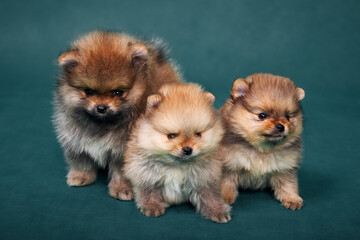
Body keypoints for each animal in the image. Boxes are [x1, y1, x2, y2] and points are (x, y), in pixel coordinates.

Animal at [52, 31, 180, 201]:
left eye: (117, 92)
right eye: (89, 92)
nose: (101, 107)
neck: (102, 124)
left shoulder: (123, 151)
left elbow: (122, 173)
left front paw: (121, 189)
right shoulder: (76, 140)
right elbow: (81, 160)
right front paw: (81, 176)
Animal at [124, 83, 231, 223]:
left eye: (198, 134)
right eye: (171, 135)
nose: (187, 149)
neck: (177, 165)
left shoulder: (204, 178)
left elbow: (210, 195)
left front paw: (217, 210)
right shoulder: (146, 173)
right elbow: (149, 191)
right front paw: (152, 205)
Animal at [218, 73, 306, 210]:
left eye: (288, 116)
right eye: (262, 115)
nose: (281, 126)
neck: (261, 150)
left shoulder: (285, 167)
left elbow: (288, 184)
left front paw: (292, 199)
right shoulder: (228, 166)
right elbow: (226, 184)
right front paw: (225, 198)